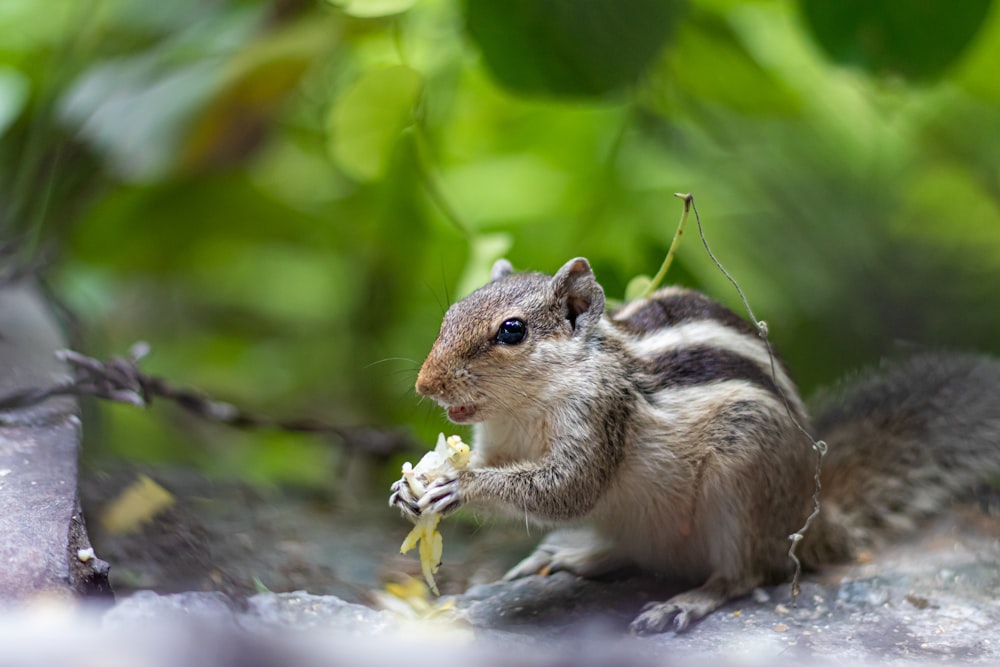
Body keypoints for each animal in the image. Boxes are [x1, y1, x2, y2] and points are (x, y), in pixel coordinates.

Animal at [388, 258, 1000, 636]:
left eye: (511, 331)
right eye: (450, 314)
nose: (424, 384)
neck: (524, 408)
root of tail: (813, 519)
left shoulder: (599, 420)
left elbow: (566, 489)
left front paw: (456, 485)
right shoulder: (496, 440)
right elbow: (504, 468)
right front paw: (407, 487)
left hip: (742, 481)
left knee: (745, 575)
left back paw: (683, 602)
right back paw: (572, 557)